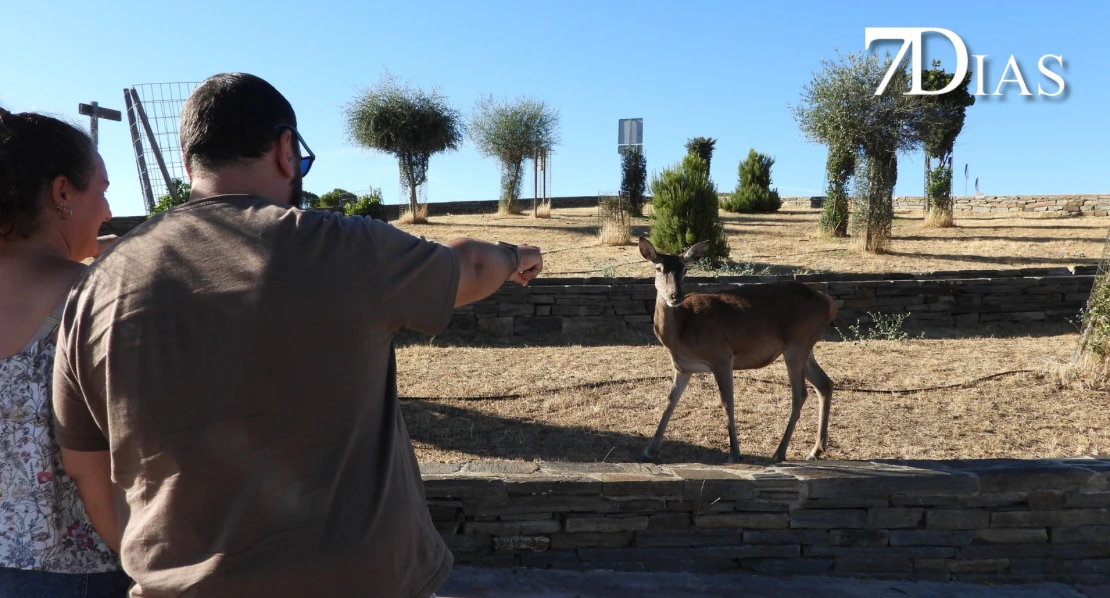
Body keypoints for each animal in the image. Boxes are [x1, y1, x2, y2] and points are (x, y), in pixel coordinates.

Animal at [637, 237, 838, 464]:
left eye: (685, 269)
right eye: (658, 267)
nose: (675, 295)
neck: (680, 334)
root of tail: (830, 304)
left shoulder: (722, 355)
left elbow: (727, 402)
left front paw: (734, 452)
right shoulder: (683, 367)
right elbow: (670, 402)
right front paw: (648, 450)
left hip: (797, 344)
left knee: (800, 393)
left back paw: (779, 453)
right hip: (806, 347)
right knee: (824, 384)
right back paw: (815, 450)